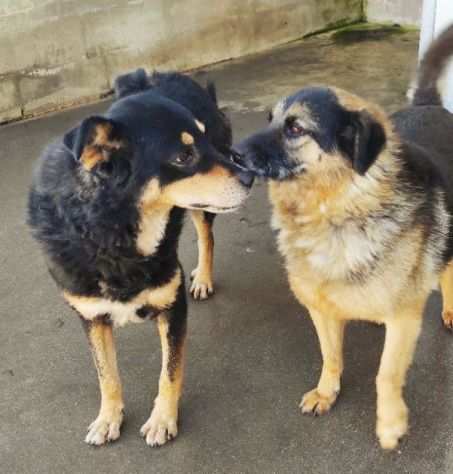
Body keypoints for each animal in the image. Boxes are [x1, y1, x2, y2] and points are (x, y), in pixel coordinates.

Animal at [27, 68, 254, 446]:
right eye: (183, 156)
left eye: (204, 140)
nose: (250, 174)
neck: (110, 231)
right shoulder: (91, 316)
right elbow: (106, 374)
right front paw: (108, 417)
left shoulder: (172, 306)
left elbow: (170, 371)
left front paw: (162, 418)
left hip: (200, 209)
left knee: (206, 237)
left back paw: (204, 278)